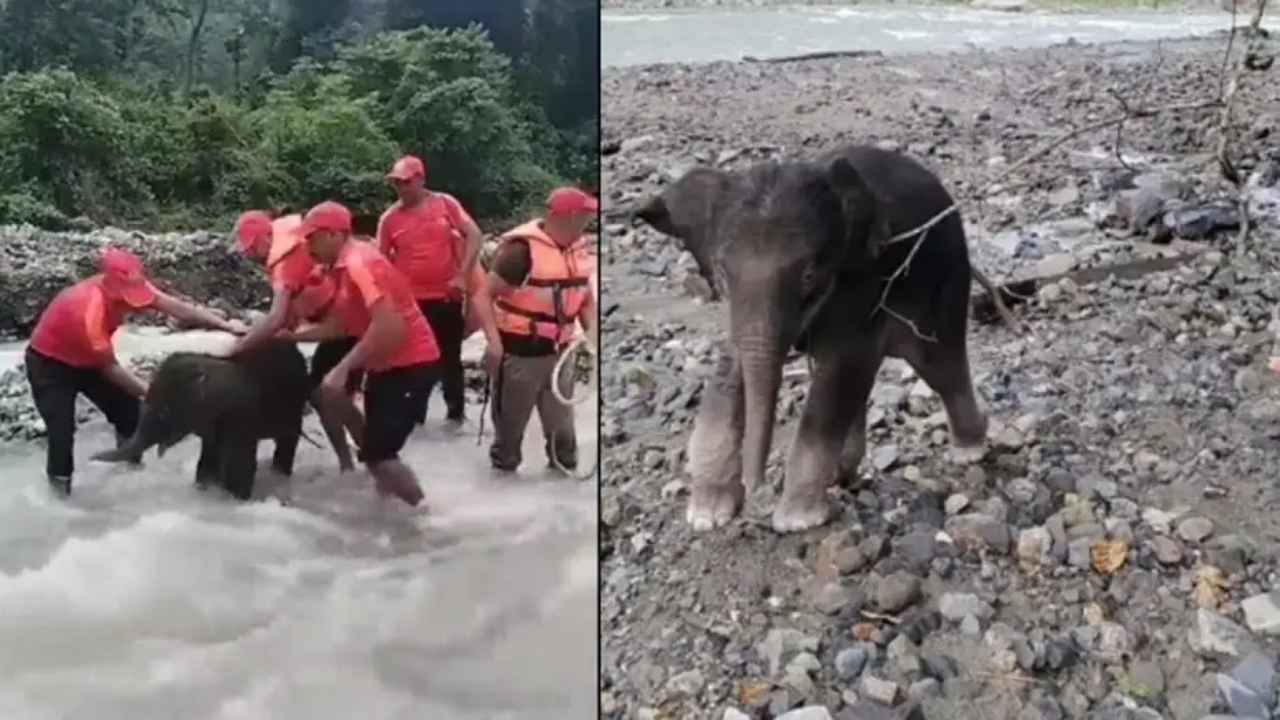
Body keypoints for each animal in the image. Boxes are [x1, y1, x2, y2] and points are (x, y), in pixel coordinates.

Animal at [92, 338, 309, 497]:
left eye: (165, 412)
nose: (90, 458)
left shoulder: (240, 414)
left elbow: (239, 466)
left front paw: (234, 498)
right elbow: (208, 459)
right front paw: (204, 489)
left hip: (294, 403)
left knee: (288, 439)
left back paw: (280, 473)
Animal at [637, 142, 988, 532]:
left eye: (808, 275)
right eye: (722, 275)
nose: (755, 494)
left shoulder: (864, 277)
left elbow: (838, 372)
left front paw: (796, 521)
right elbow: (729, 369)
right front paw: (707, 516)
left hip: (948, 281)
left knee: (939, 366)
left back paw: (969, 453)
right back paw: (843, 475)